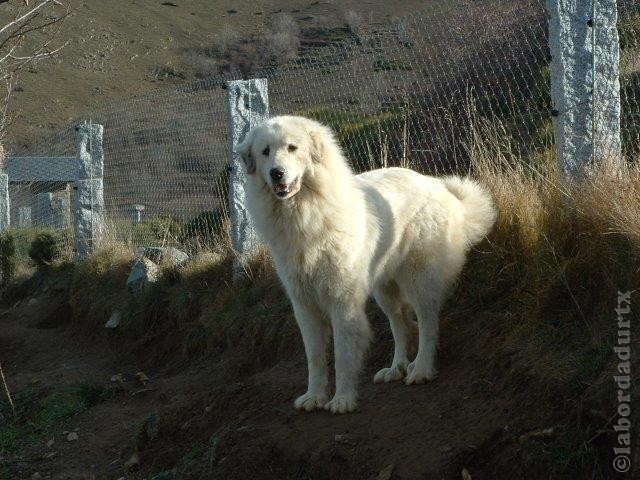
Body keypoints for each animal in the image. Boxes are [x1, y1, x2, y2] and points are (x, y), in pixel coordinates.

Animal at [238, 115, 498, 412]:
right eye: (265, 152)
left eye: (292, 148)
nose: (276, 173)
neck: (304, 214)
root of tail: (438, 186)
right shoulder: (304, 305)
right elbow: (315, 358)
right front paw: (314, 396)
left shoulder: (342, 302)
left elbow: (342, 356)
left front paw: (342, 399)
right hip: (385, 291)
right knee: (401, 326)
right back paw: (397, 368)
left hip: (419, 280)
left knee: (428, 324)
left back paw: (421, 369)